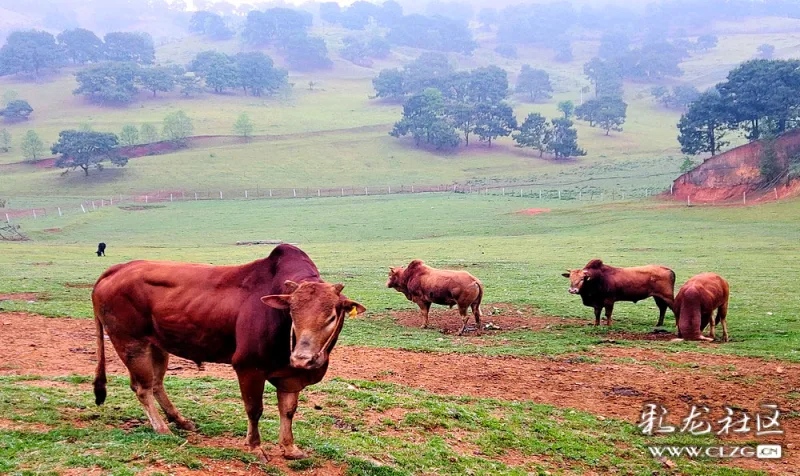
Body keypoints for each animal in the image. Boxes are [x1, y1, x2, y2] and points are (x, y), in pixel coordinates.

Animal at [93, 244, 366, 460]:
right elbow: (254, 409)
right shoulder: (248, 368)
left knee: (157, 384)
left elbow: (288, 410)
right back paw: (162, 428)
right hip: (130, 343)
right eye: (292, 314)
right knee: (143, 388)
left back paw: (179, 420)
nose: (302, 358)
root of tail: (116, 269)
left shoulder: (289, 375)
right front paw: (255, 447)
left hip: (158, 345)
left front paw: (289, 448)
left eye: (331, 317)